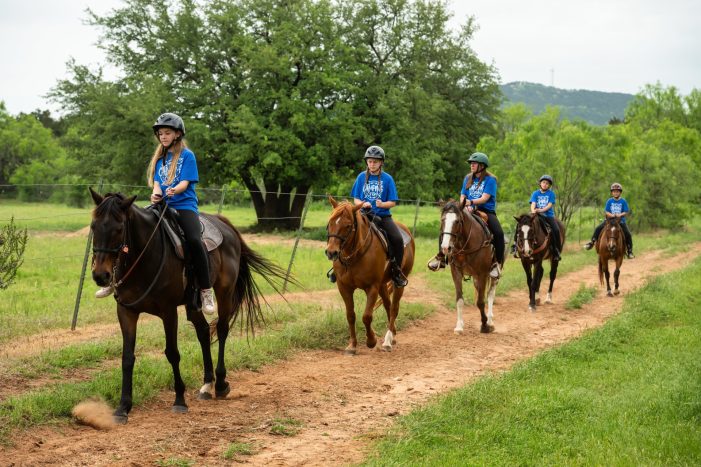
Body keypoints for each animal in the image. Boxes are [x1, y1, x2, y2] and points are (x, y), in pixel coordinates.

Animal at [89, 188, 288, 423]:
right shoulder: (126, 311)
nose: (100, 275)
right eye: (93, 226)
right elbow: (127, 357)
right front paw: (123, 407)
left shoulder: (168, 311)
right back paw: (207, 385)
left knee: (222, 329)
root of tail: (224, 224)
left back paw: (221, 384)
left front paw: (179, 400)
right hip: (192, 305)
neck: (145, 256)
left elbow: (172, 353)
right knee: (203, 331)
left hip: (224, 292)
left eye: (119, 229)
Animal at [324, 197, 415, 355]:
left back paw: (387, 341)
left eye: (348, 226)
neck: (355, 255)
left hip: (398, 283)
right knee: (387, 305)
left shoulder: (372, 287)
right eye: (330, 223)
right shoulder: (344, 287)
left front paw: (371, 341)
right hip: (383, 284)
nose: (331, 252)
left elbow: (366, 316)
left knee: (394, 308)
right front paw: (352, 345)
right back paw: (392, 336)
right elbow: (350, 315)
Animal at [438, 199, 499, 334]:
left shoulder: (482, 273)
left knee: (490, 294)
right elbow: (460, 300)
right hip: (476, 277)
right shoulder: (456, 272)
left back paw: (490, 321)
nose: (446, 248)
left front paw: (485, 325)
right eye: (443, 220)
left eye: (457, 221)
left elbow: (481, 301)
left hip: (492, 274)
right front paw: (459, 326)